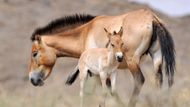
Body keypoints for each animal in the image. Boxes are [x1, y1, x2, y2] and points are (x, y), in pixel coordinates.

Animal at [27, 9, 175, 107]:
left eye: (34, 53)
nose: (33, 79)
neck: (85, 33)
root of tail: (152, 18)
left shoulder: (97, 74)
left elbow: (106, 93)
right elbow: (112, 92)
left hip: (133, 62)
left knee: (139, 80)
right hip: (157, 59)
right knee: (158, 80)